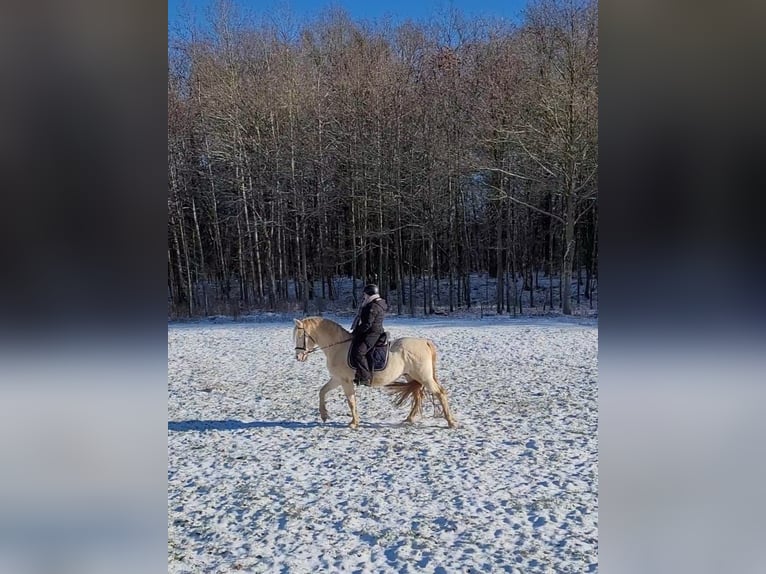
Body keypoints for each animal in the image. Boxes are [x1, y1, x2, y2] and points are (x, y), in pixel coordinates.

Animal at [292, 317, 457, 429]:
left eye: (300, 336)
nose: (298, 357)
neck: (338, 348)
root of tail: (424, 342)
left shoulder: (345, 381)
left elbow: (351, 401)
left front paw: (353, 423)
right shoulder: (337, 379)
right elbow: (322, 391)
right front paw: (324, 415)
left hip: (424, 377)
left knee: (440, 393)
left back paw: (451, 422)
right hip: (412, 376)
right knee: (417, 396)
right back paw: (409, 419)